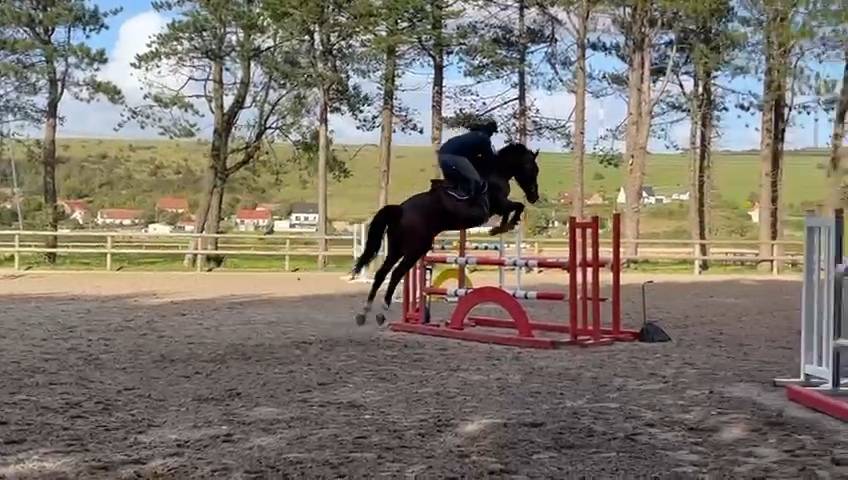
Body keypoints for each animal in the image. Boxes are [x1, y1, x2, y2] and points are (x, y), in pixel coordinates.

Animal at [351, 143, 540, 326]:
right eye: (533, 168)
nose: (534, 196)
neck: (496, 172)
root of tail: (400, 209)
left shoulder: (500, 207)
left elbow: (513, 209)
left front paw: (501, 227)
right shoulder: (499, 204)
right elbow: (517, 206)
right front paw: (505, 225)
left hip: (397, 248)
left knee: (382, 273)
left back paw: (366, 312)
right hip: (416, 249)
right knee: (397, 272)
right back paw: (384, 306)